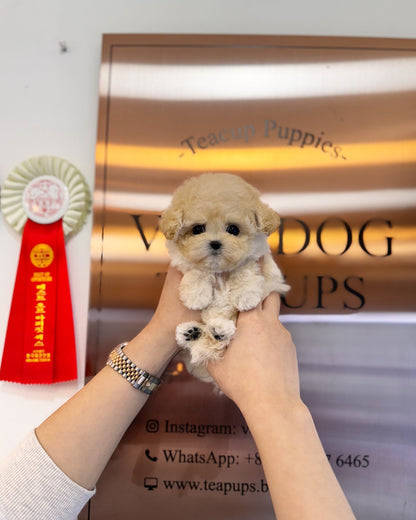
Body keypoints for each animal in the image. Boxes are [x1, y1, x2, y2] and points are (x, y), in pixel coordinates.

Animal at [159, 174, 290, 382]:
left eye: (233, 229)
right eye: (197, 229)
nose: (215, 243)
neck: (220, 270)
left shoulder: (261, 262)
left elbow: (244, 267)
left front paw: (245, 296)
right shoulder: (186, 262)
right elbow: (198, 270)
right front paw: (195, 296)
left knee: (218, 341)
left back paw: (219, 330)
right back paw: (191, 333)